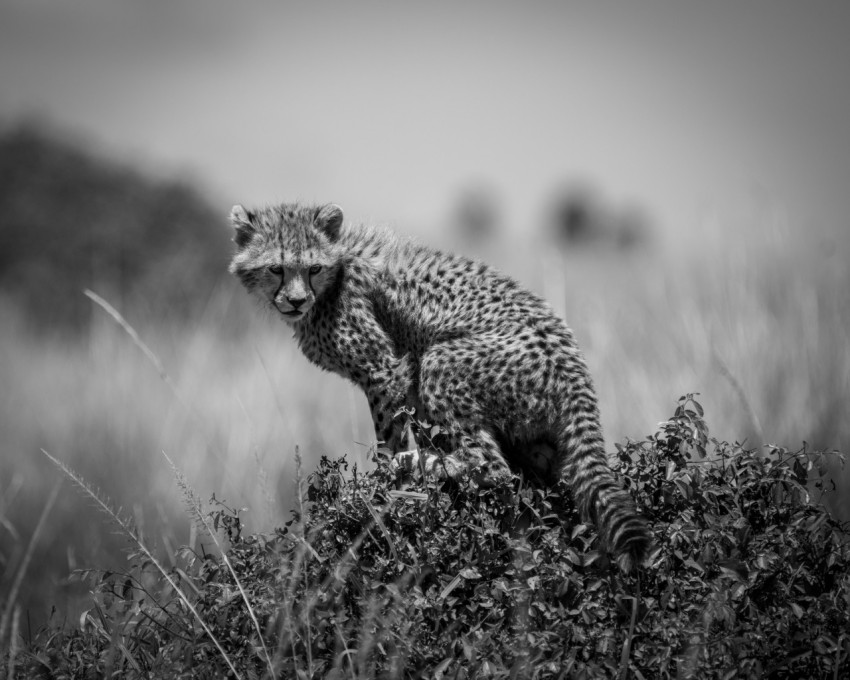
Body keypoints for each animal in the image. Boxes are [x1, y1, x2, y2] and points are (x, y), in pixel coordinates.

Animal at [227, 201, 648, 568]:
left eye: (314, 268)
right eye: (276, 269)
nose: (296, 301)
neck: (336, 275)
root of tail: (572, 361)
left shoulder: (385, 369)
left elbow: (389, 438)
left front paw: (387, 486)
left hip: (439, 361)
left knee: (494, 469)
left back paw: (422, 463)